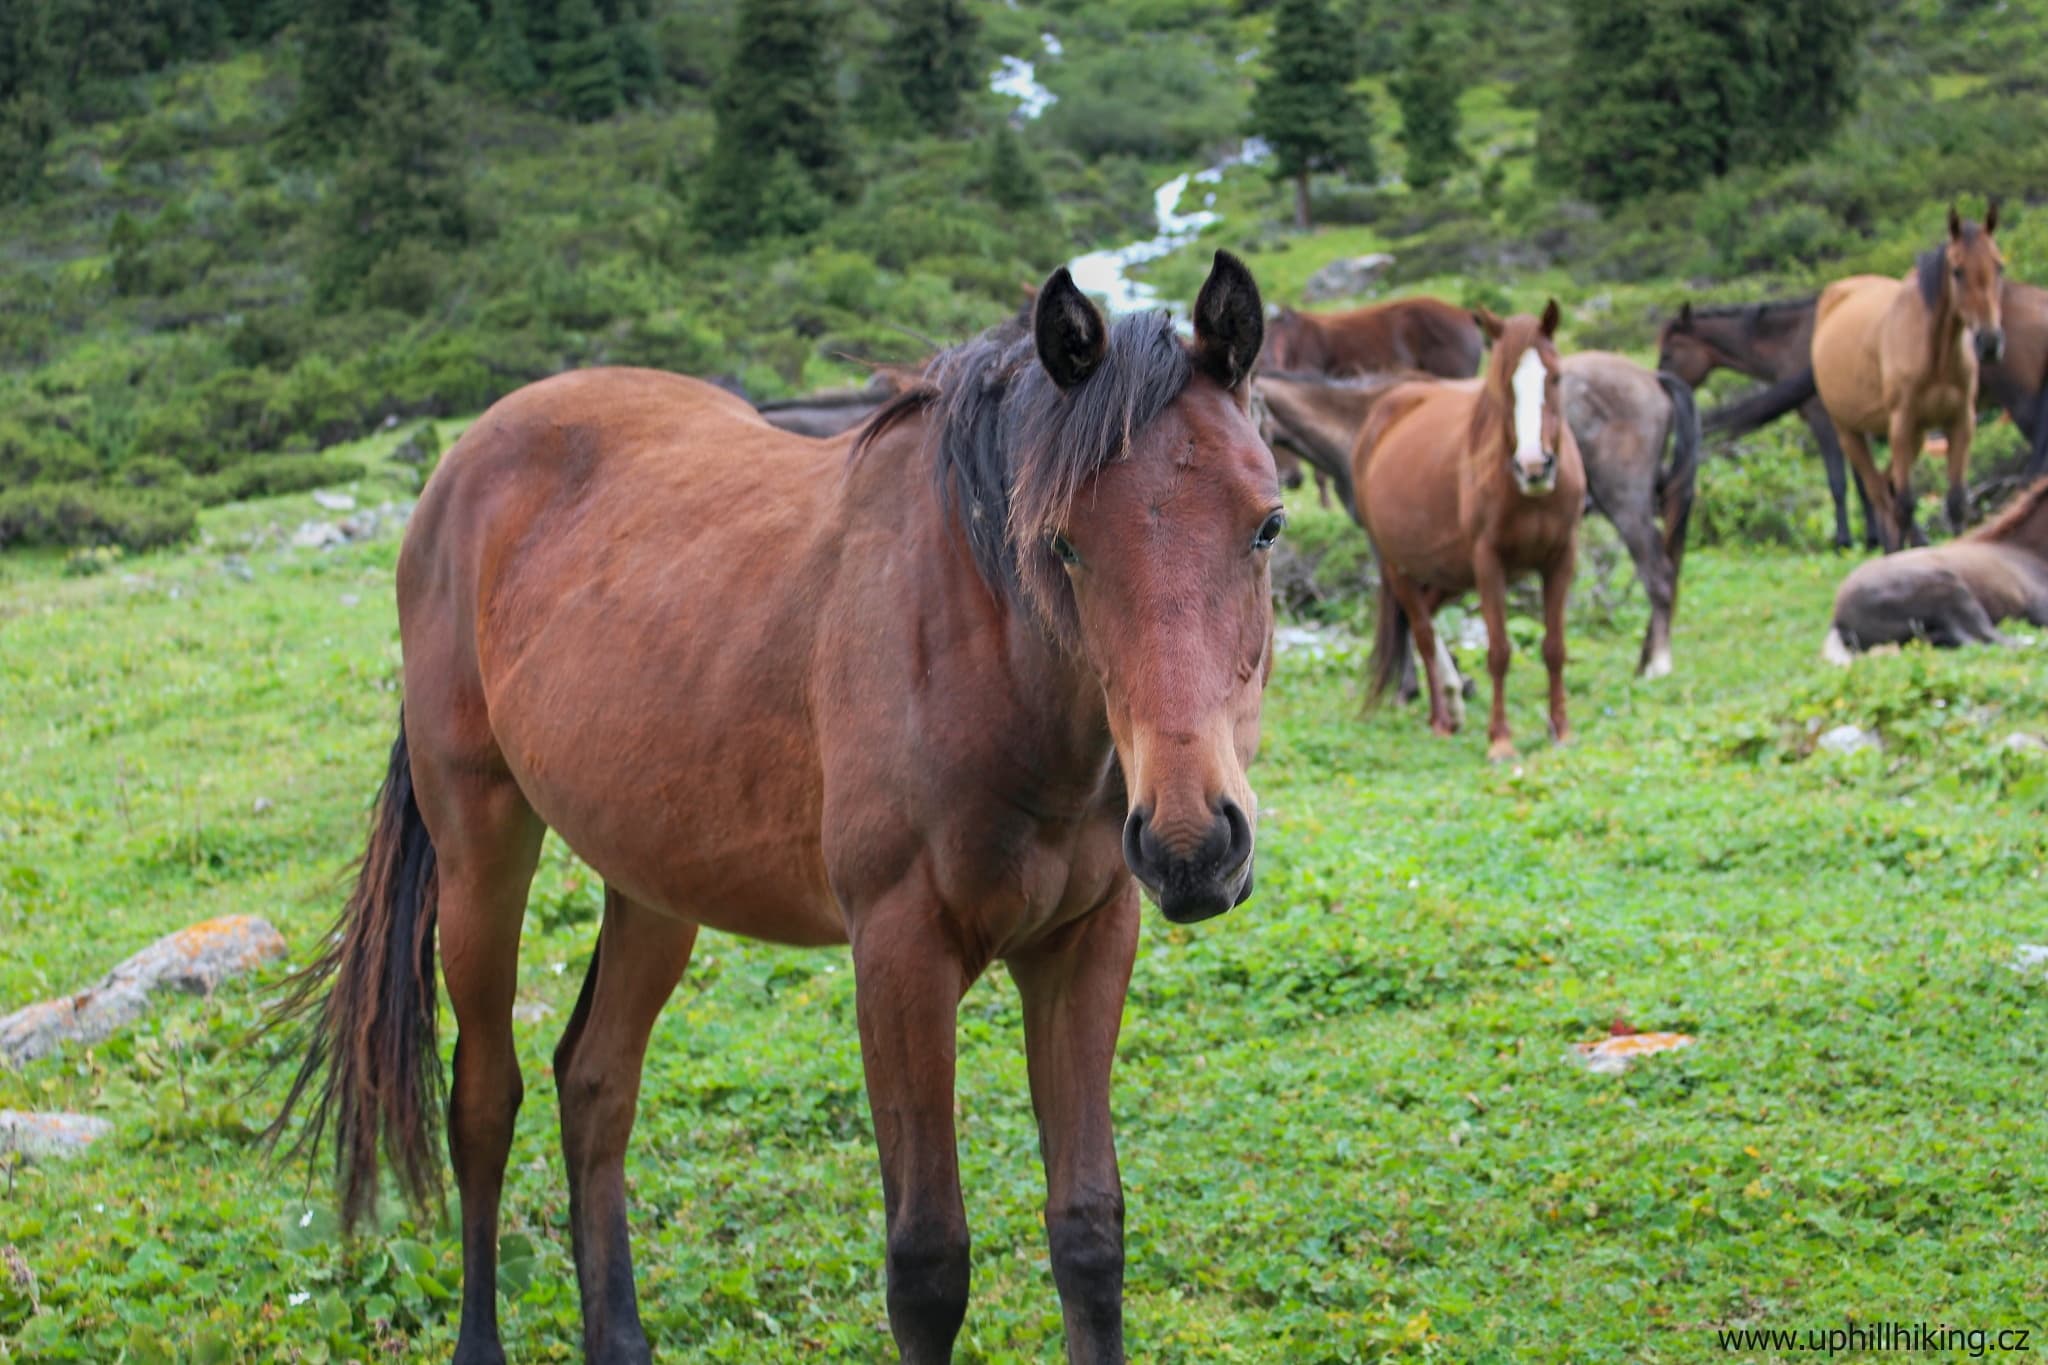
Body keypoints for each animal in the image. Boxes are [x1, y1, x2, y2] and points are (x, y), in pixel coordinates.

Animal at [264, 253, 1269, 1365]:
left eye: (1266, 525)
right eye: (1062, 545)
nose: (1192, 844)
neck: (983, 659)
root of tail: (461, 466)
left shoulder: (1085, 943)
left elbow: (1088, 1231)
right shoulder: (899, 957)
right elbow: (928, 1264)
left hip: (654, 883)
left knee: (594, 1085)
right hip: (480, 852)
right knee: (486, 1098)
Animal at [1359, 302, 1581, 765]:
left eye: (1554, 377)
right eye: (1504, 386)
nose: (1534, 467)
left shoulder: (1561, 558)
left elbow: (1554, 648)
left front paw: (1562, 729)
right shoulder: (1488, 563)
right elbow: (1499, 652)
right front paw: (1500, 740)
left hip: (1449, 573)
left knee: (1426, 616)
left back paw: (1449, 700)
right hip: (1398, 566)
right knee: (1423, 632)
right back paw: (1442, 717)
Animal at [1818, 205, 2007, 552]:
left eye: (1998, 265)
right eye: (1957, 271)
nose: (1989, 342)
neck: (1935, 355)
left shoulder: (1959, 422)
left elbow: (1956, 502)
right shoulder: (1902, 423)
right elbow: (1905, 504)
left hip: (1916, 436)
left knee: (1885, 486)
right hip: (1850, 433)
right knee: (1880, 494)